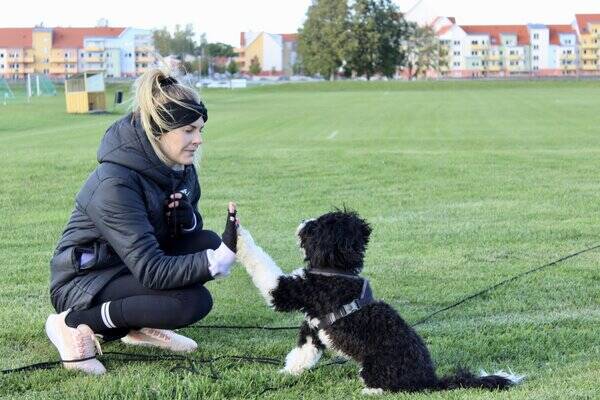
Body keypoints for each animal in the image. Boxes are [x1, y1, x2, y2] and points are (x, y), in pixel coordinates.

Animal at [237, 209, 524, 394]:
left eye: (315, 226)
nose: (302, 221)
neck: (336, 271)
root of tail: (429, 380)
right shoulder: (313, 327)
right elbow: (303, 353)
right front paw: (288, 374)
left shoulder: (291, 291)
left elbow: (260, 263)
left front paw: (237, 232)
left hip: (375, 366)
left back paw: (371, 391)